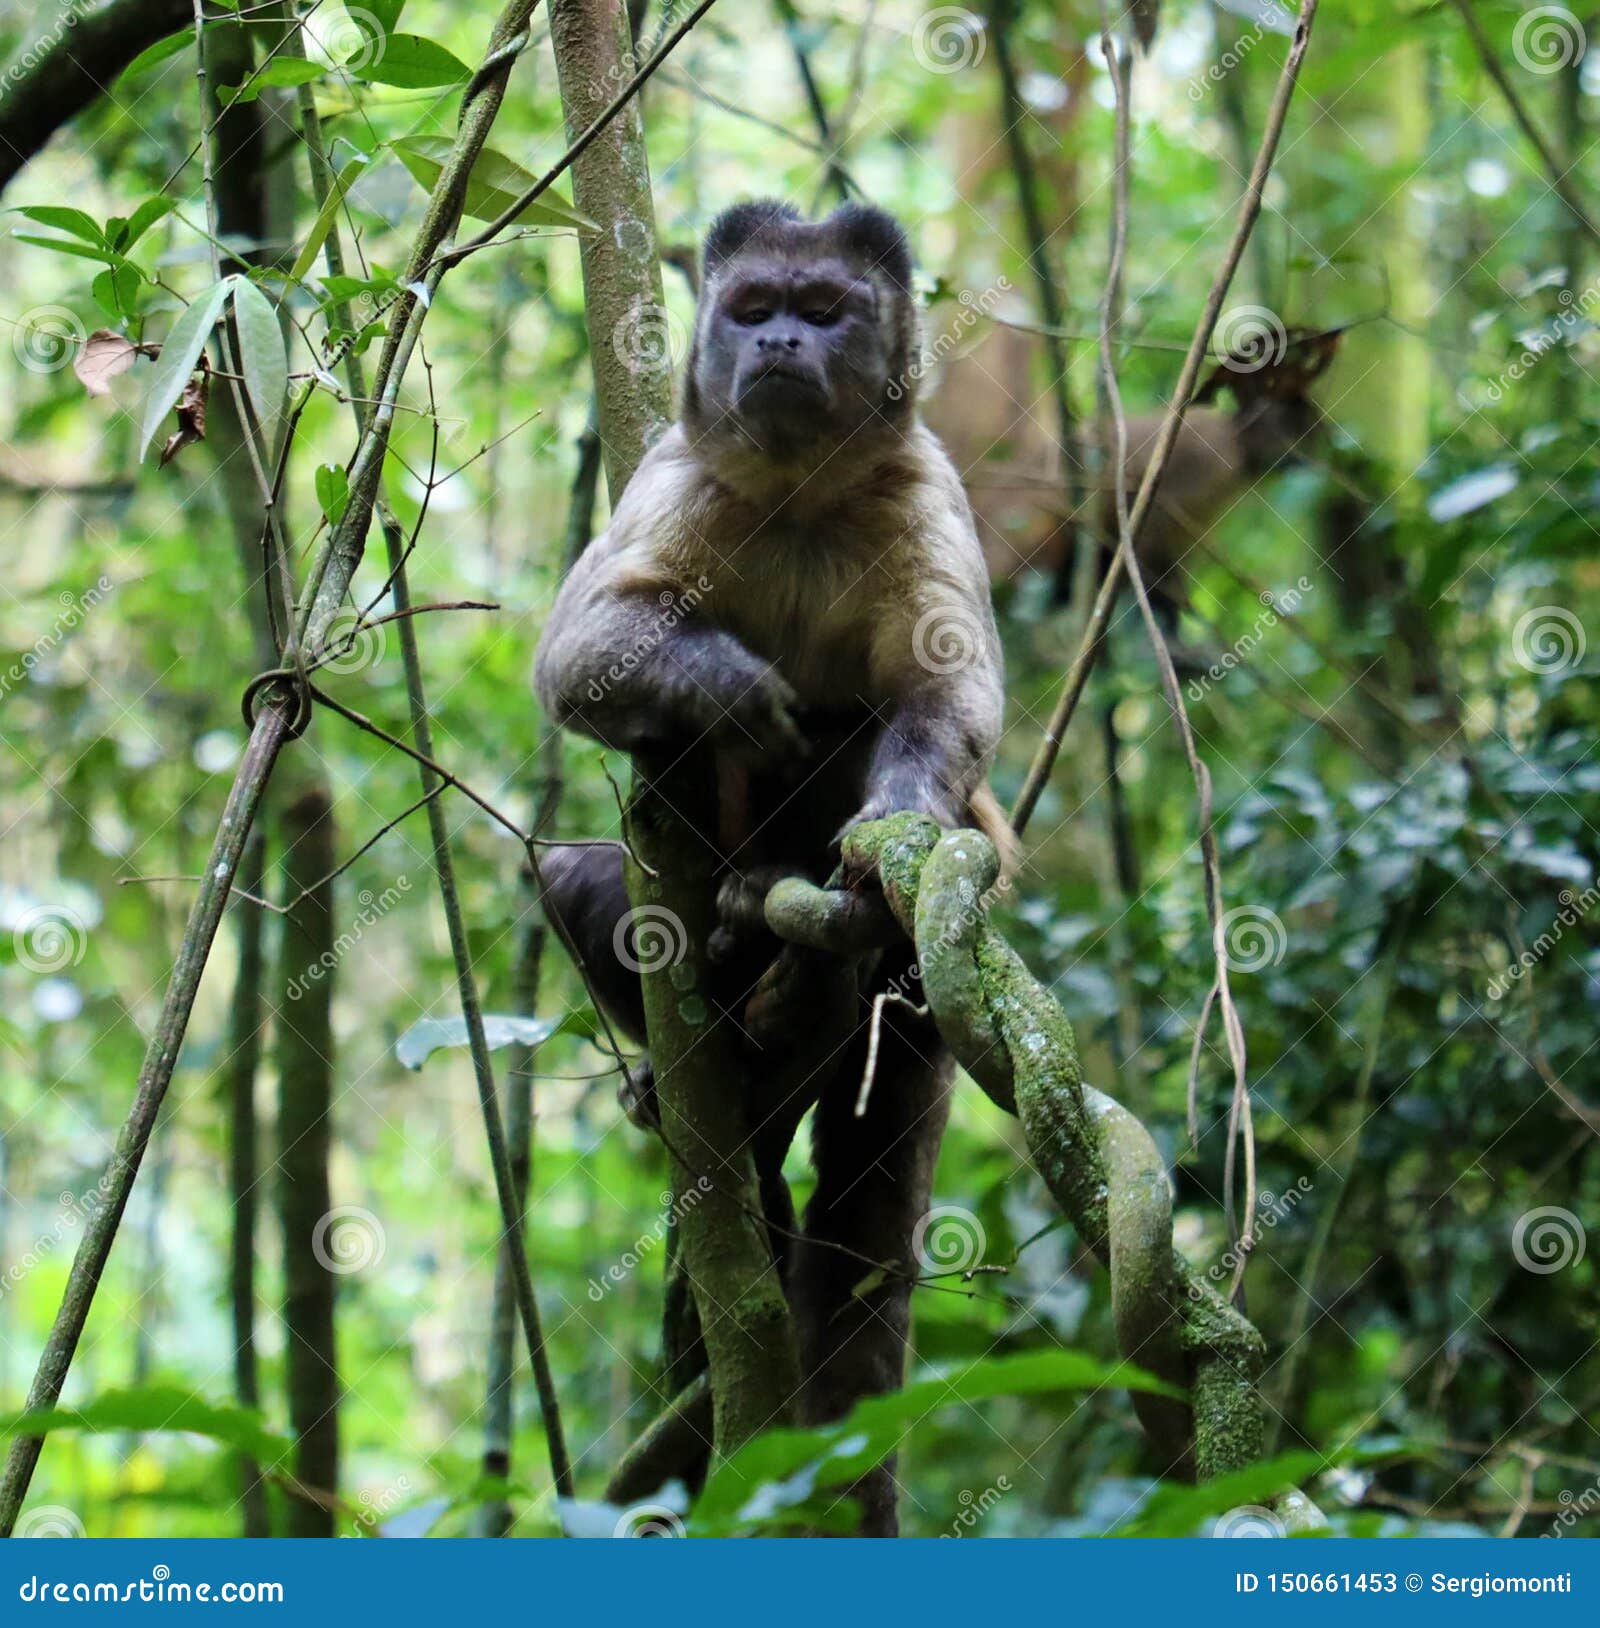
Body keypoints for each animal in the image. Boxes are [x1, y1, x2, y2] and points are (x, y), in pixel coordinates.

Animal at [537, 196, 1009, 1530]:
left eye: (825, 308)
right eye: (753, 309)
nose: (783, 343)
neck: (798, 492)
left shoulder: (923, 483)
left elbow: (943, 700)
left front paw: (886, 839)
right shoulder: (674, 472)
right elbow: (580, 653)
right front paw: (732, 686)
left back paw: (802, 951)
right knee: (595, 848)